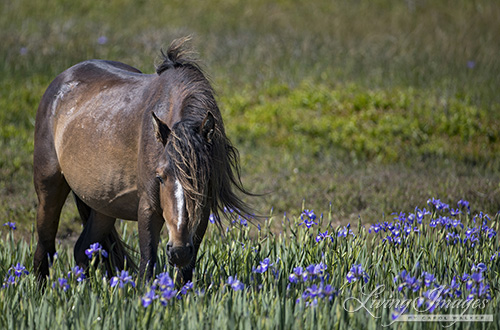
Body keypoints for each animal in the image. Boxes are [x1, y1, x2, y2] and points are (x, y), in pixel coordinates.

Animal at [33, 36, 252, 284]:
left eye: (202, 181)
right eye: (160, 177)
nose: (178, 251)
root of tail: (60, 81)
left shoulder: (202, 215)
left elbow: (186, 272)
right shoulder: (148, 208)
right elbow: (147, 265)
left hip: (103, 207)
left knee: (82, 250)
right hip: (49, 188)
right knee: (45, 247)